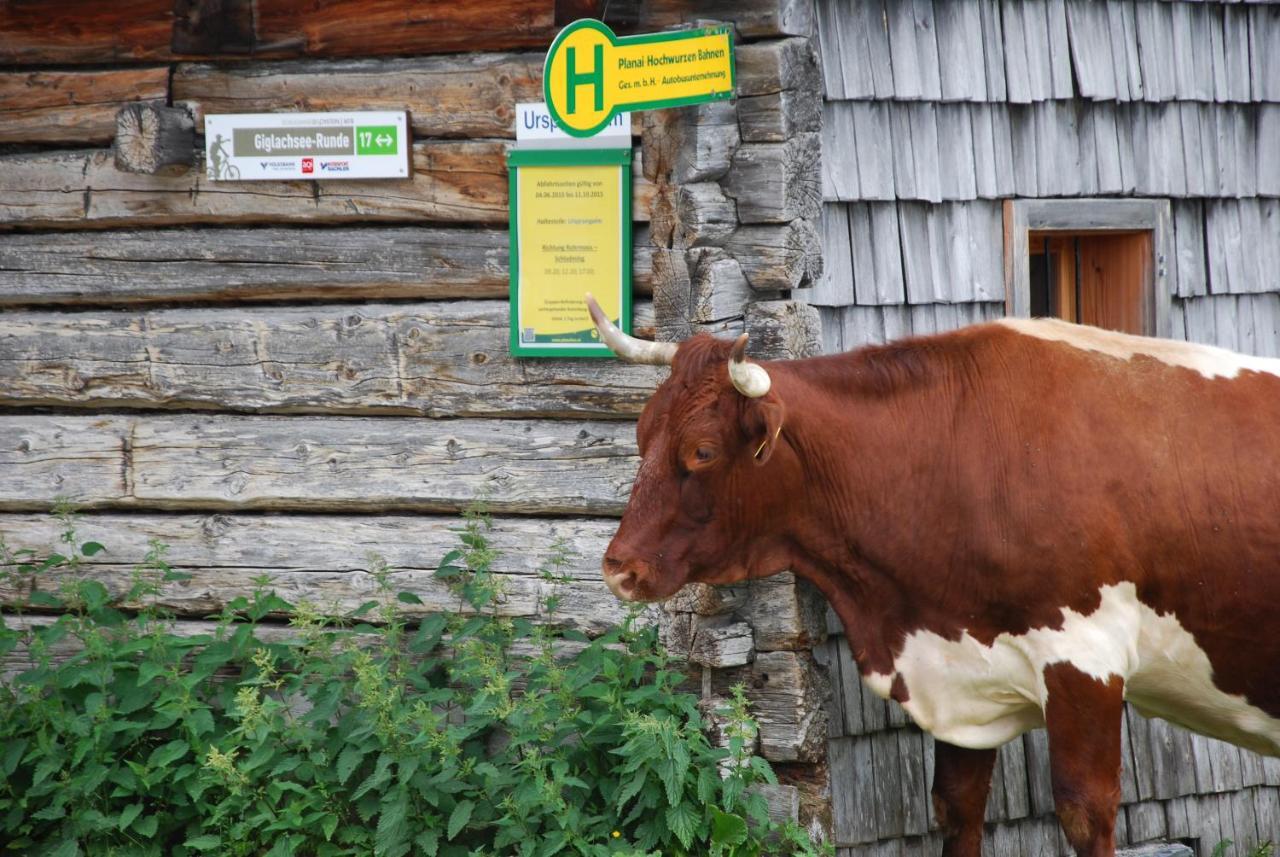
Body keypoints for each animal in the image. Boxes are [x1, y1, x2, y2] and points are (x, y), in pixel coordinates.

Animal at [586, 296, 1280, 857]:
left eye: (701, 452)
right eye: (640, 434)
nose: (618, 568)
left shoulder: (1086, 660)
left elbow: (1087, 812)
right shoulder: (959, 675)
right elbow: (957, 808)